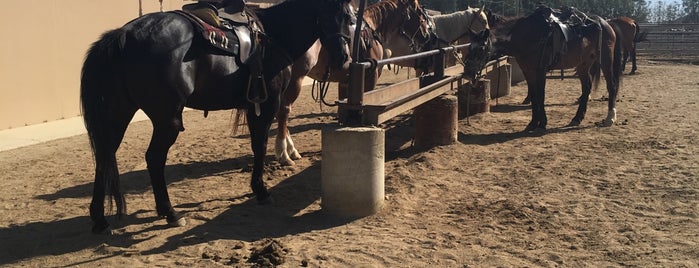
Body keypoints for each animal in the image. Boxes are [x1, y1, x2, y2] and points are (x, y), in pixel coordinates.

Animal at [80, 0, 356, 233]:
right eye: (340, 16)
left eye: (350, 17)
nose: (344, 57)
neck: (274, 37)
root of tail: (123, 35)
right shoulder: (266, 105)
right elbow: (260, 145)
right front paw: (261, 190)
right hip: (167, 119)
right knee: (154, 158)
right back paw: (170, 213)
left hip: (118, 113)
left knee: (105, 156)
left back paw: (100, 219)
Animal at [274, 0, 434, 165]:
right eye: (421, 16)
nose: (428, 36)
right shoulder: (370, 77)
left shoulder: (346, 82)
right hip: (295, 80)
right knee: (284, 111)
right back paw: (284, 153)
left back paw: (291, 150)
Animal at [490, 6, 628, 131]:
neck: (528, 35)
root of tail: (607, 23)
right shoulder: (528, 72)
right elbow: (534, 96)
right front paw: (533, 123)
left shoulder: (540, 71)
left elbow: (540, 96)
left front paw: (542, 123)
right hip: (583, 64)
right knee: (586, 87)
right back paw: (577, 118)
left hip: (606, 60)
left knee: (612, 86)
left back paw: (610, 118)